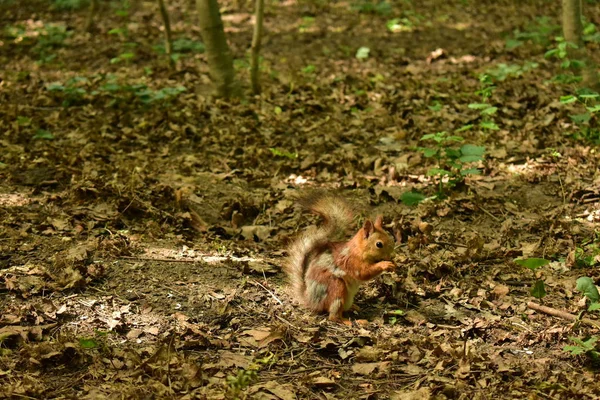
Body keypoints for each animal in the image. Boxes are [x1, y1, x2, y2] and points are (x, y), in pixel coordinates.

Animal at [284, 191, 396, 324]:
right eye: (379, 244)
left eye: (390, 237)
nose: (392, 255)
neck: (358, 251)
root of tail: (311, 301)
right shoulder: (352, 262)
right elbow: (363, 273)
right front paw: (384, 264)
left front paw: (393, 264)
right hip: (336, 288)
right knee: (333, 315)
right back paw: (346, 321)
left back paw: (354, 308)